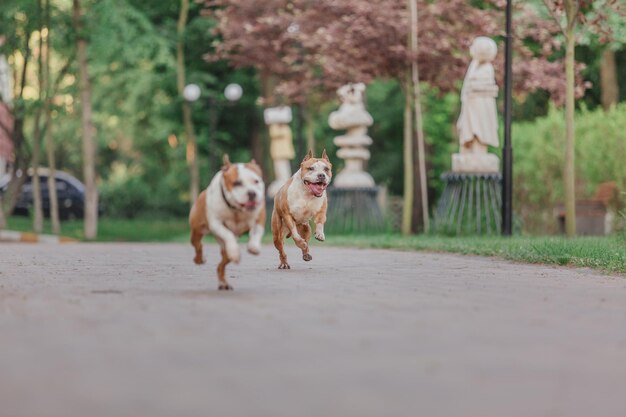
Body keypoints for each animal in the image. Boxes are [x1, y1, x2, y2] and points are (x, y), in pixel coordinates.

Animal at [185, 154, 264, 288]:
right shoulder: (216, 223)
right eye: (237, 183)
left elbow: (256, 232)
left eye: (256, 181)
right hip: (197, 230)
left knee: (221, 265)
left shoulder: (259, 218)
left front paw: (253, 247)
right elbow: (228, 234)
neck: (236, 208)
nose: (252, 193)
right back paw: (200, 259)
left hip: (224, 251)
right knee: (198, 244)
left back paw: (224, 282)